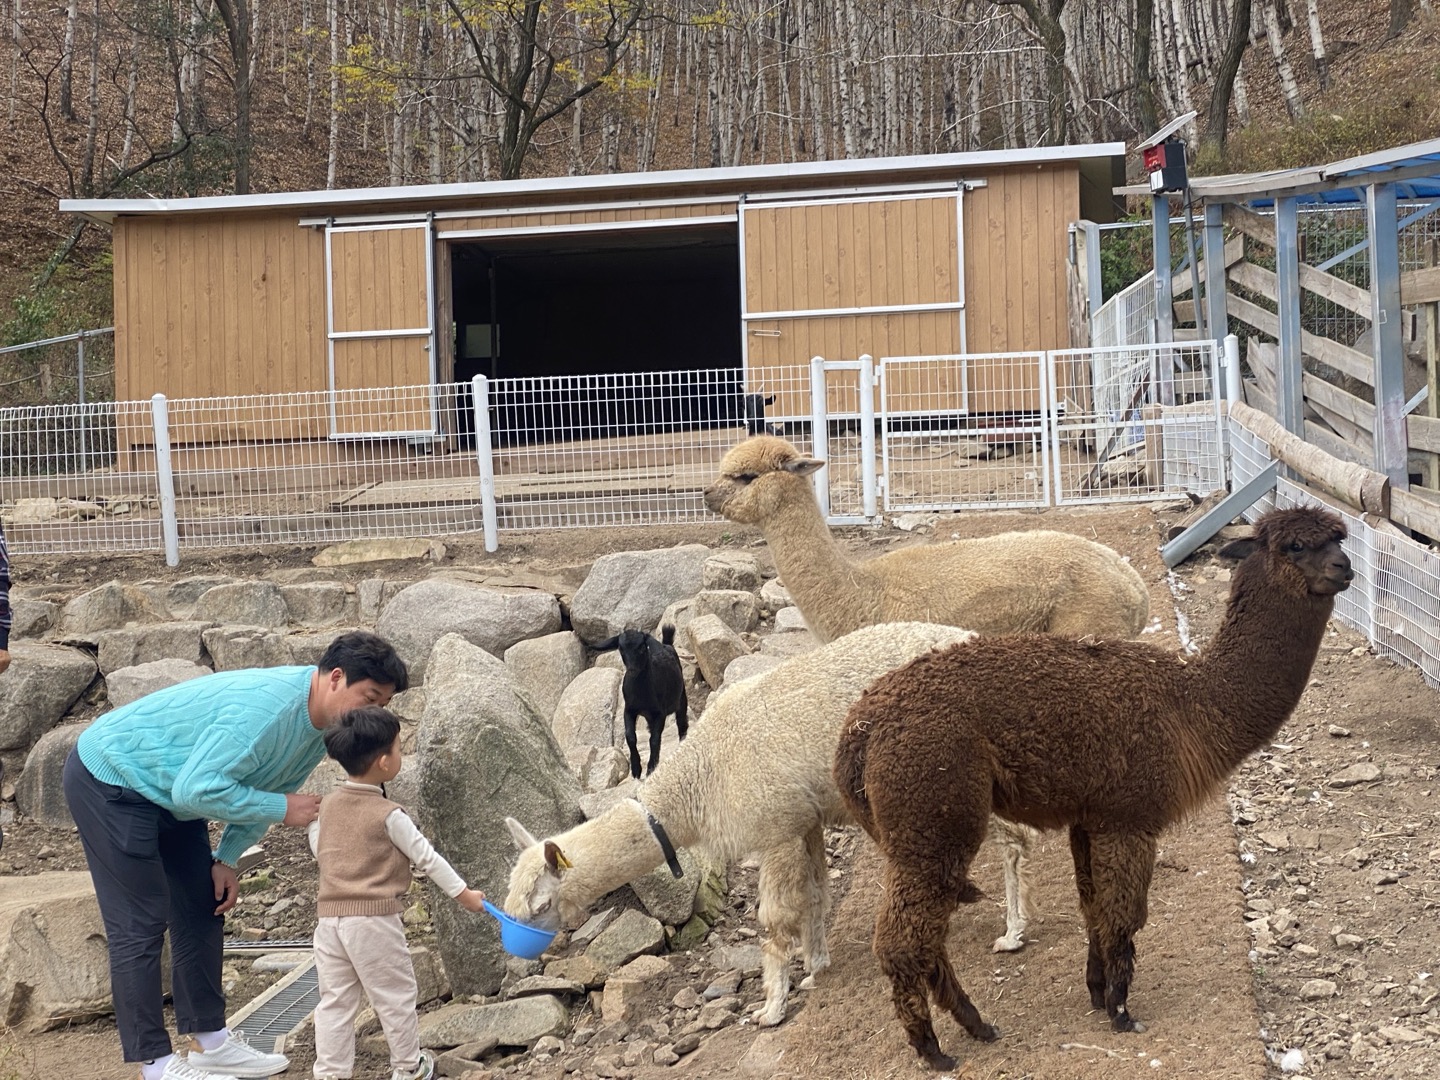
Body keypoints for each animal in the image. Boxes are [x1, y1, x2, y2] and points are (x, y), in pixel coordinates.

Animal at [593, 624, 688, 777]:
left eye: (642, 647)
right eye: (621, 649)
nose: (632, 670)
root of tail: (666, 644)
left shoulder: (660, 713)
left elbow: (654, 740)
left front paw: (651, 767)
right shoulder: (629, 710)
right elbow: (630, 736)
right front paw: (636, 768)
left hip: (681, 697)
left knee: (682, 724)